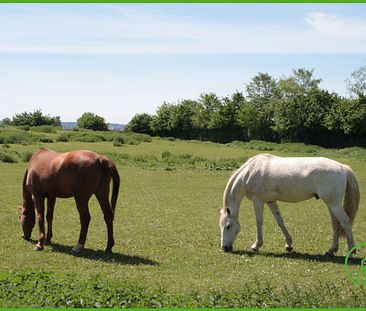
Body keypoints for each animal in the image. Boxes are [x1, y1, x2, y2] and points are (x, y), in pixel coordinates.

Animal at [220, 154, 360, 258]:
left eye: (228, 226)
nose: (224, 248)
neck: (250, 172)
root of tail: (342, 167)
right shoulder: (271, 201)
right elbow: (280, 221)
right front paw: (288, 245)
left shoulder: (258, 201)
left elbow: (259, 222)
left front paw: (256, 245)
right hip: (331, 204)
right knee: (336, 224)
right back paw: (331, 250)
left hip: (334, 204)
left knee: (345, 222)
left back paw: (351, 251)